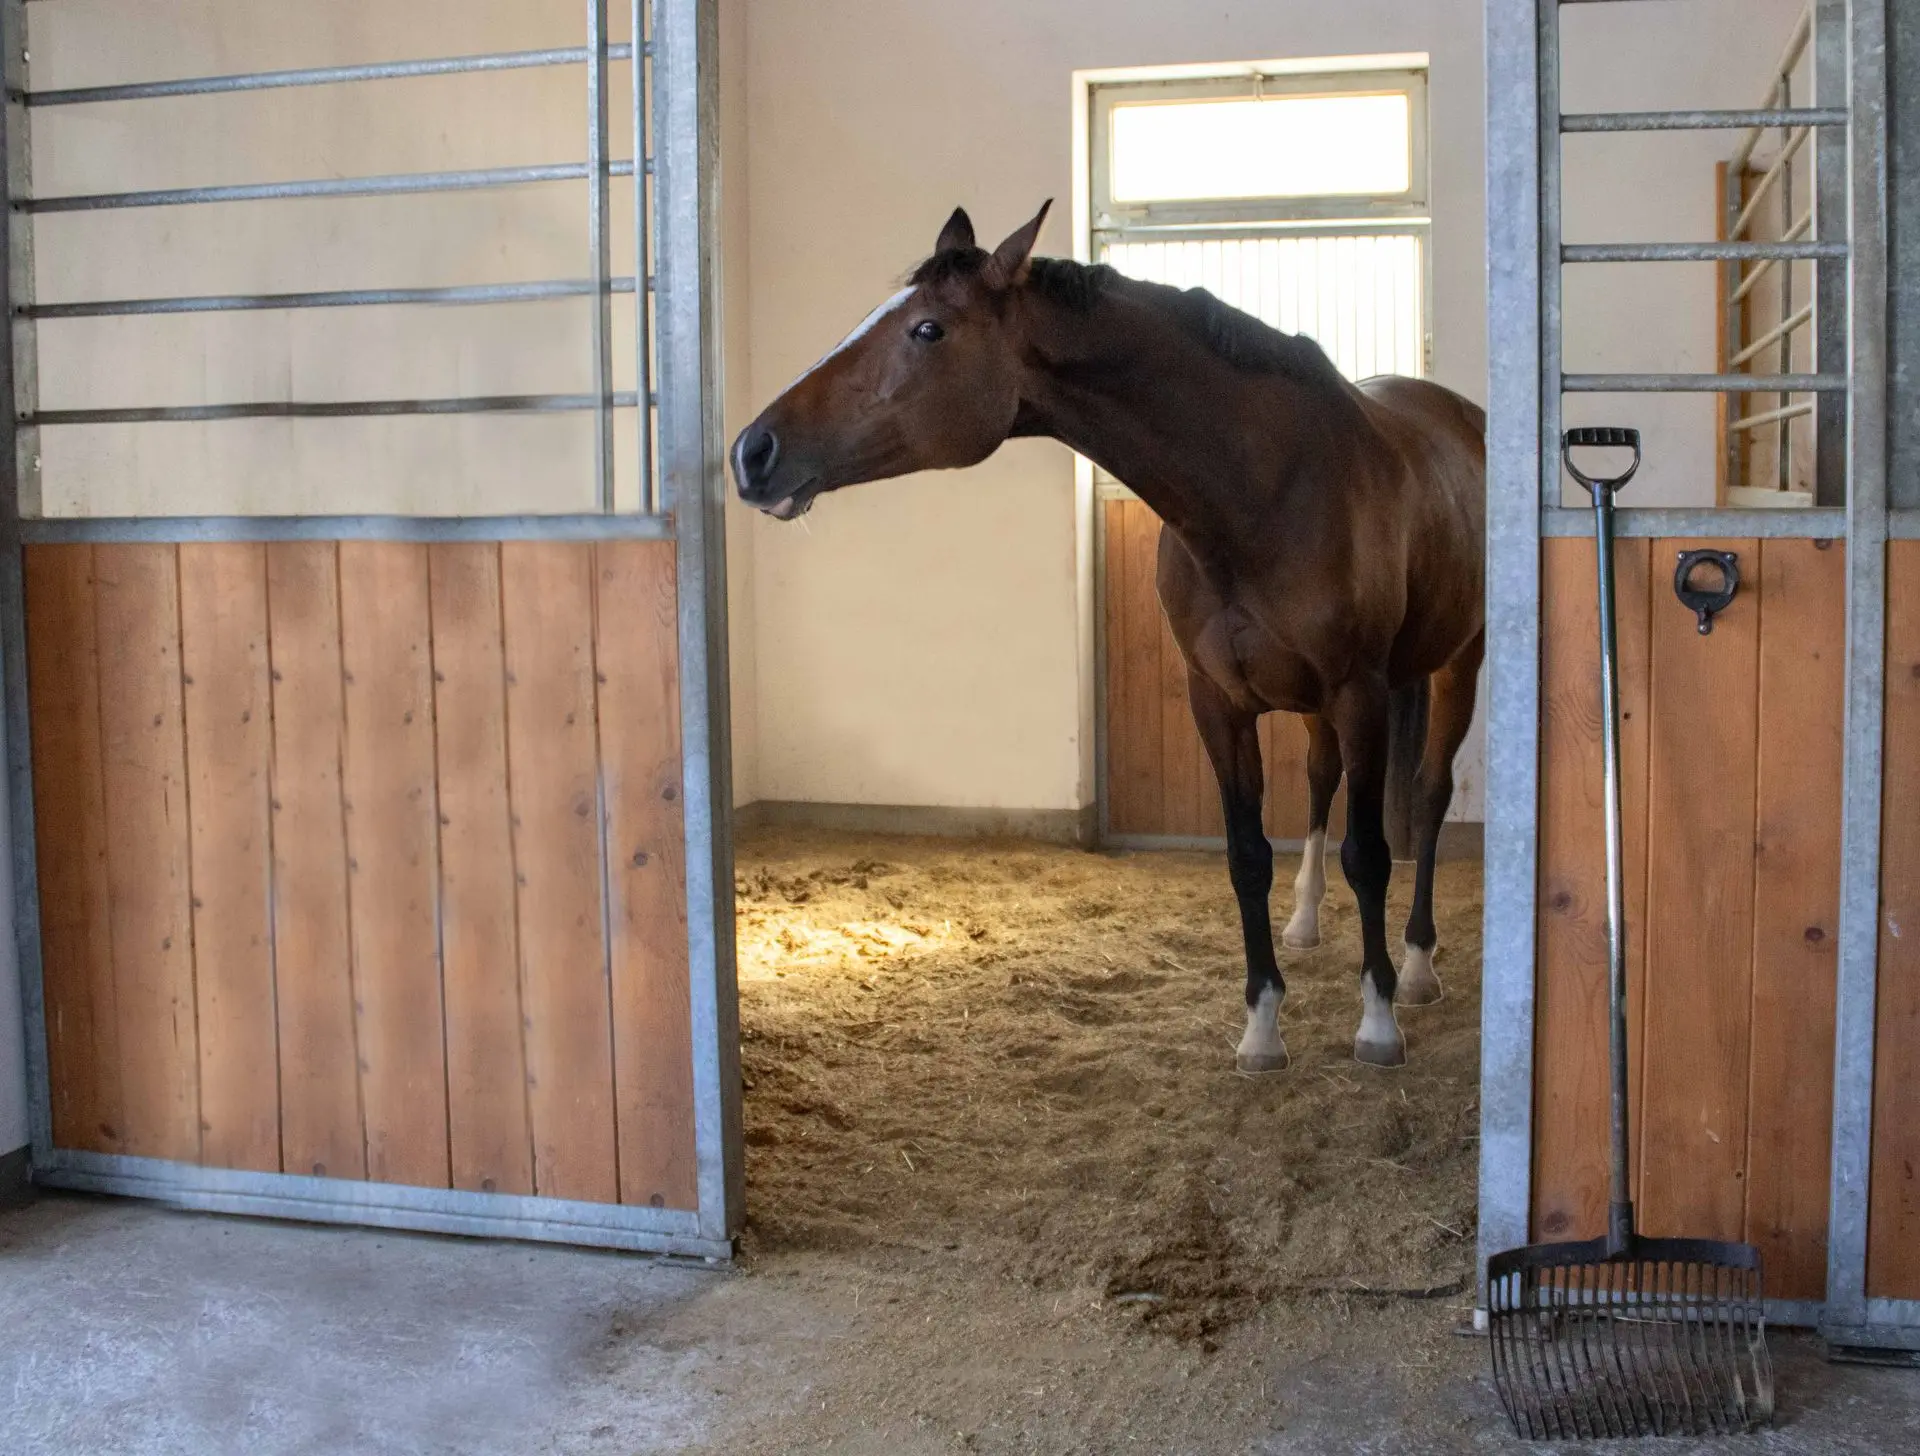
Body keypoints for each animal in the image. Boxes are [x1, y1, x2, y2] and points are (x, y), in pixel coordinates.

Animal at [731, 203, 1485, 1074]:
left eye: (927, 329)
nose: (752, 450)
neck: (1264, 489)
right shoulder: (1219, 702)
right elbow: (1246, 858)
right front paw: (1261, 1027)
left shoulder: (1358, 692)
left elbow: (1370, 854)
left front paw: (1378, 1019)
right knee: (1324, 779)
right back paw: (1305, 922)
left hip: (1457, 664)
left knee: (1427, 797)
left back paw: (1420, 965)